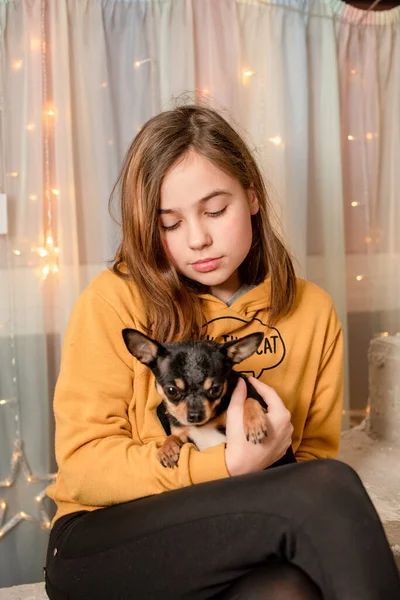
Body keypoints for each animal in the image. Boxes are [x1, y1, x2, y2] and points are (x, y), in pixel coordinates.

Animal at [122, 328, 294, 468]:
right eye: (171, 391)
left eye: (216, 389)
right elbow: (173, 435)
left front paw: (254, 424)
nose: (195, 415)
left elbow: (249, 399)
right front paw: (166, 449)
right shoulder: (184, 435)